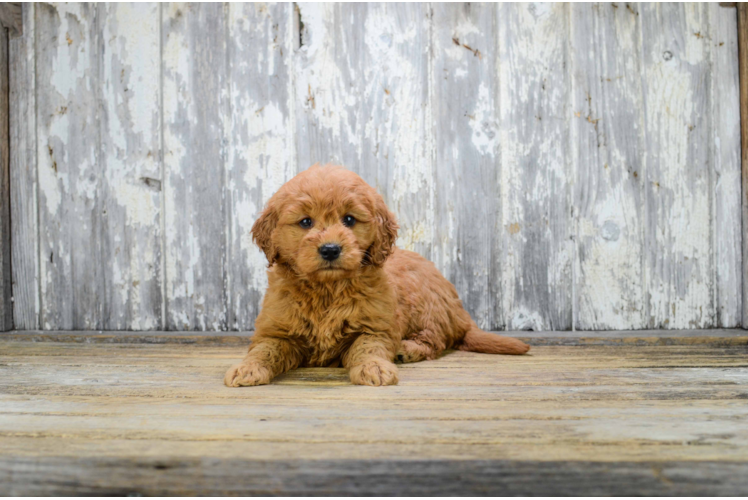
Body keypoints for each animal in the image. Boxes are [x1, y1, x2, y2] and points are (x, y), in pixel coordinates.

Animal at [225, 164, 528, 386]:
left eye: (349, 219)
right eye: (305, 222)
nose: (330, 249)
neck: (327, 290)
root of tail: (461, 313)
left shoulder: (376, 326)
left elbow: (367, 347)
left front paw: (374, 368)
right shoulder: (276, 331)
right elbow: (265, 350)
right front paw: (246, 369)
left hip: (425, 303)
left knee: (435, 340)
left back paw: (407, 349)